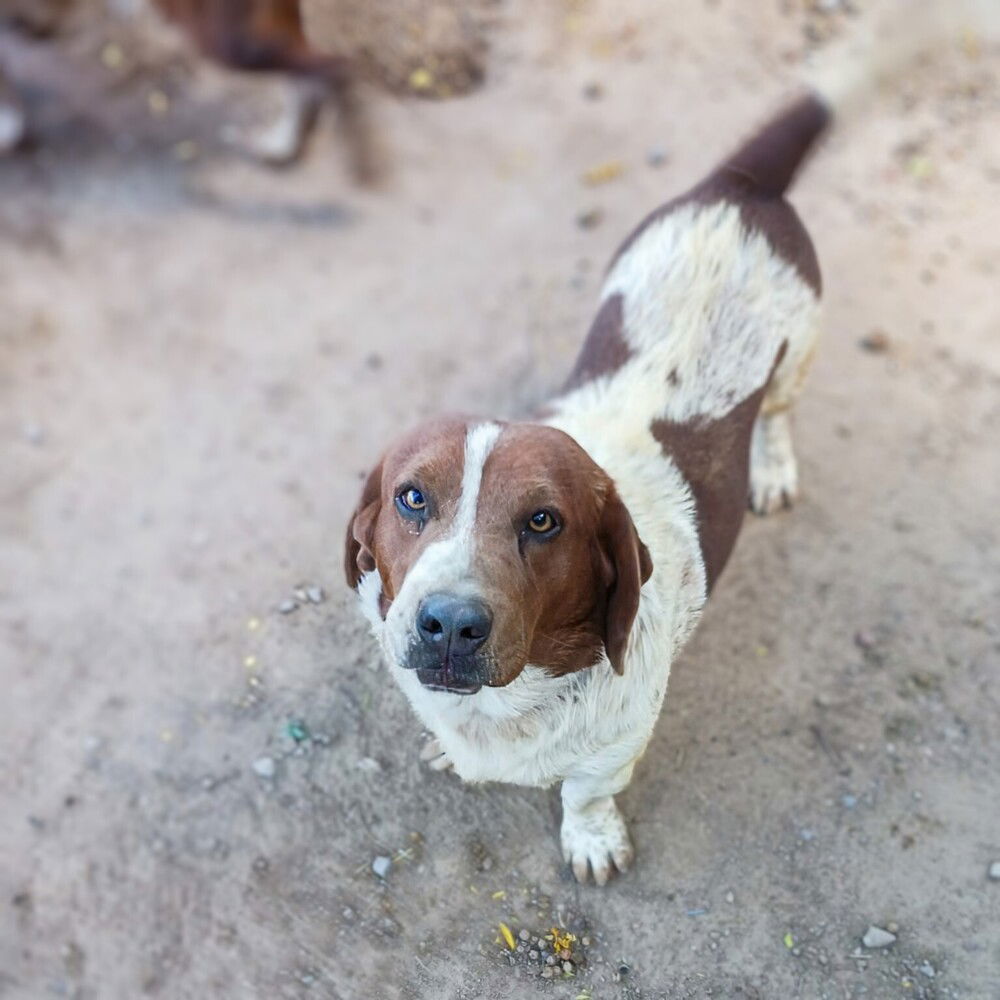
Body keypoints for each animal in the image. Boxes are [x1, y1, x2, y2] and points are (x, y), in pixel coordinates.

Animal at [346, 3, 1000, 888]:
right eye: (413, 498)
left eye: (544, 521)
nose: (449, 624)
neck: (515, 701)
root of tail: (740, 187)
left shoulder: (617, 746)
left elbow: (584, 793)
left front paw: (591, 839)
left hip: (797, 354)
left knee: (780, 413)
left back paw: (774, 468)